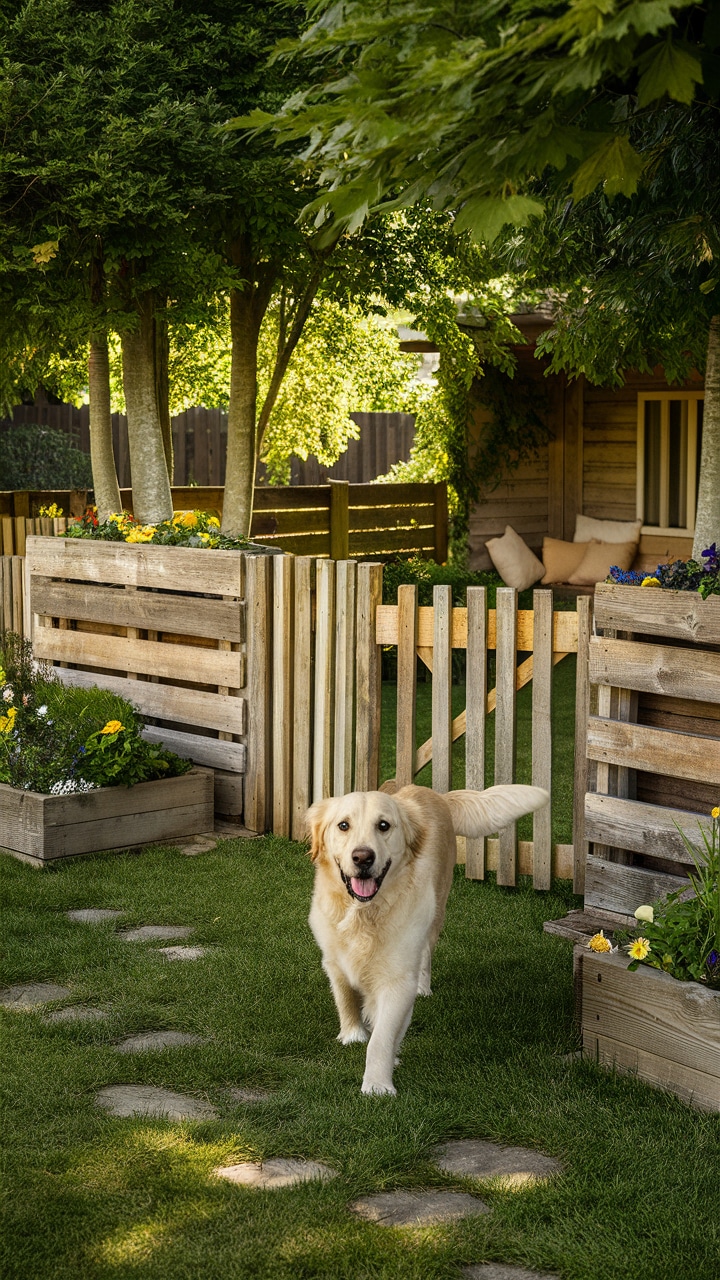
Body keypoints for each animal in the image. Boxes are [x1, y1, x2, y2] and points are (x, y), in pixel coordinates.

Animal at [304, 783, 545, 1095]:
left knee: (426, 953)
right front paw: (352, 1034)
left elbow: (381, 1038)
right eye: (343, 825)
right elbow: (345, 996)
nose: (363, 857)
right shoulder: (333, 959)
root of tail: (436, 794)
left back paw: (423, 986)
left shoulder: (397, 980)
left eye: (384, 825)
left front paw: (378, 1085)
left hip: (435, 910)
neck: (364, 914)